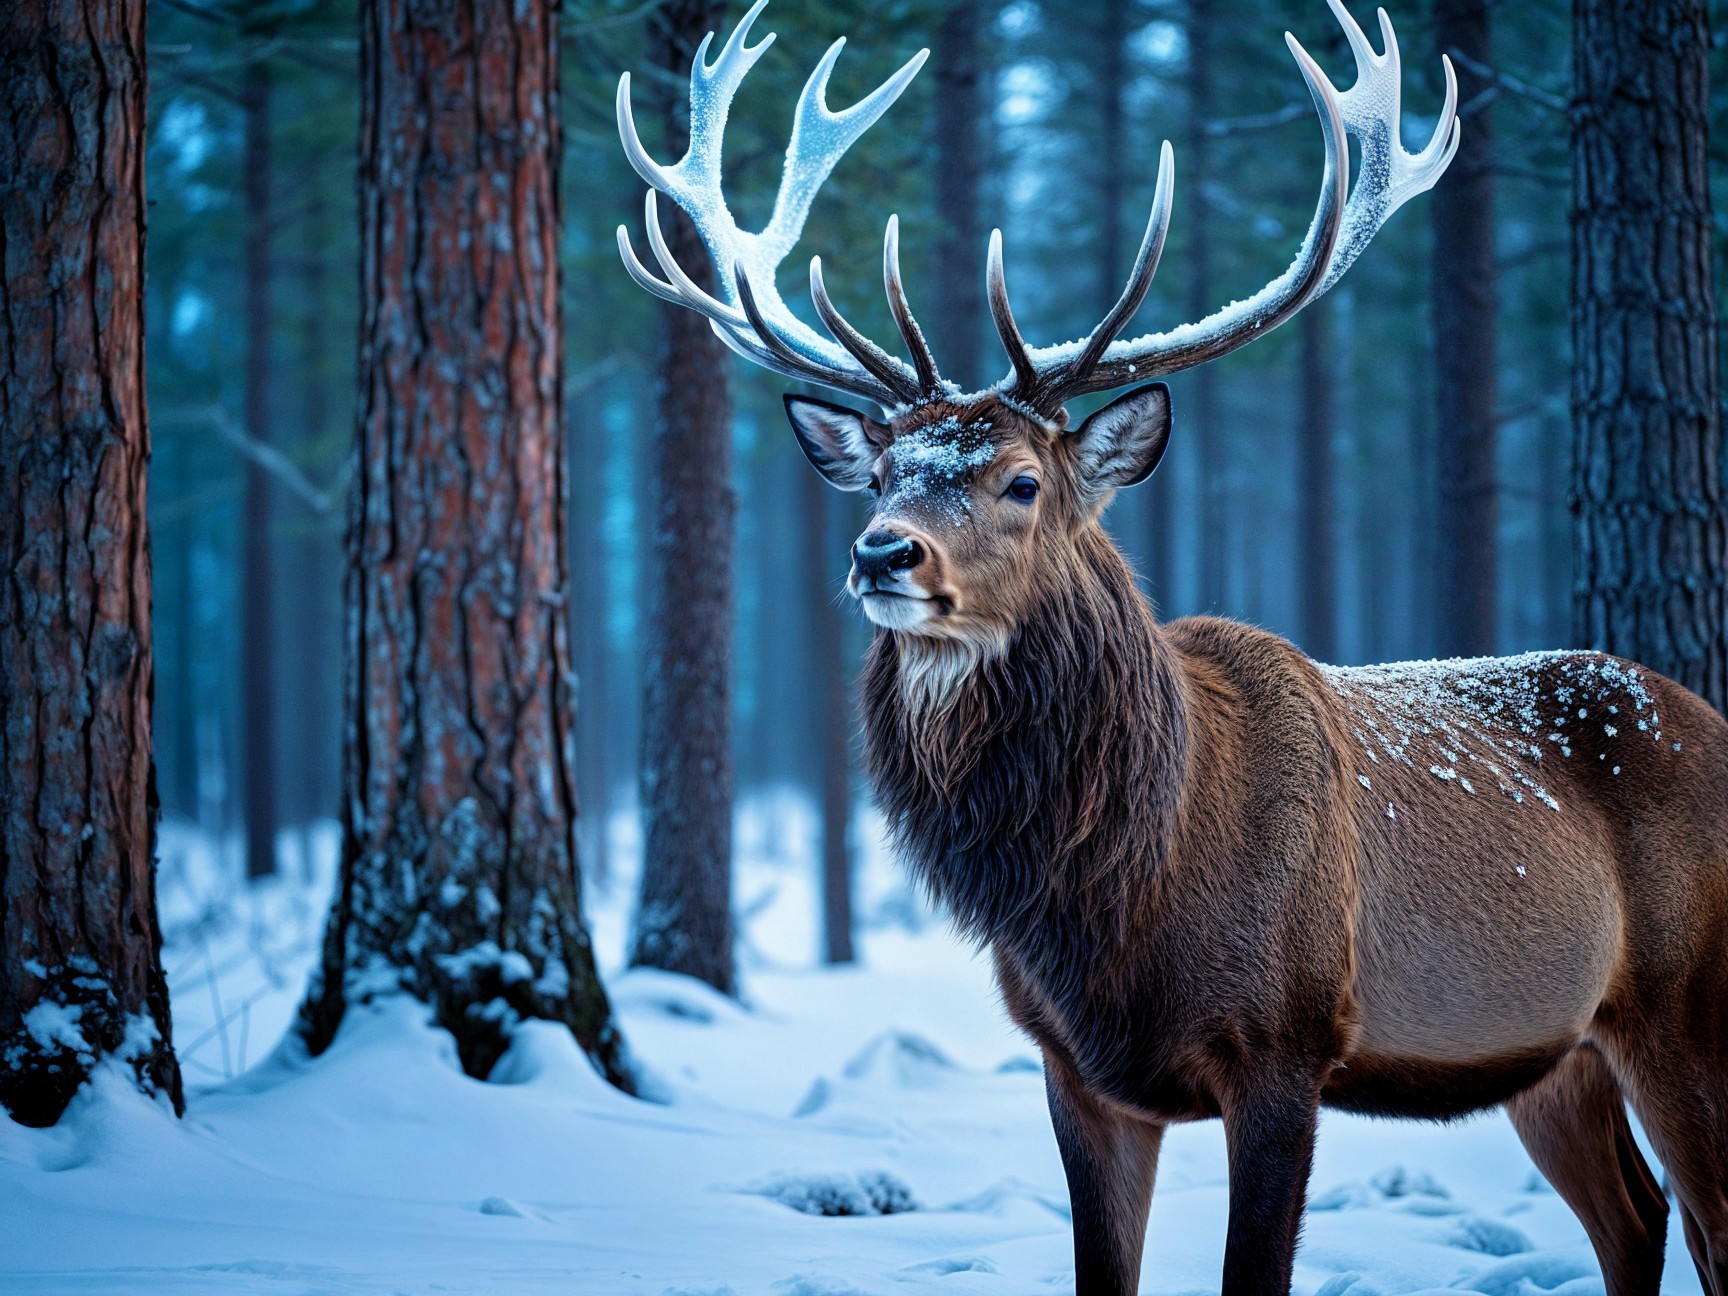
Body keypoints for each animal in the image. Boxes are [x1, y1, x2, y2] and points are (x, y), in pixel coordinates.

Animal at [615, 4, 1728, 1294]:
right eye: (886, 472)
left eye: (1022, 480)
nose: (880, 553)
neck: (1128, 888)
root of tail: (1708, 714)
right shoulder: (1075, 1068)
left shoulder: (1288, 1042)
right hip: (1553, 1050)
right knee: (1638, 1216)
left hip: (1686, 999)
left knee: (1708, 1215)